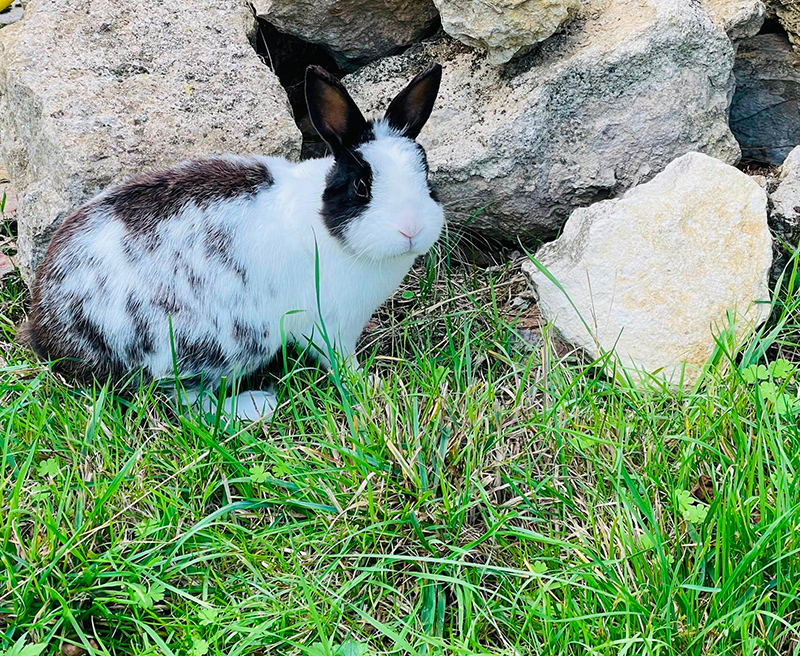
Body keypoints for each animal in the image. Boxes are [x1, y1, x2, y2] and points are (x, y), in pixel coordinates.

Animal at [22, 63, 444, 421]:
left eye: (426, 176)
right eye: (361, 186)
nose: (411, 229)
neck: (325, 224)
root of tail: (48, 328)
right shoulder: (329, 326)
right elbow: (340, 362)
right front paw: (370, 384)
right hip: (208, 346)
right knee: (182, 404)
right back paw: (256, 405)